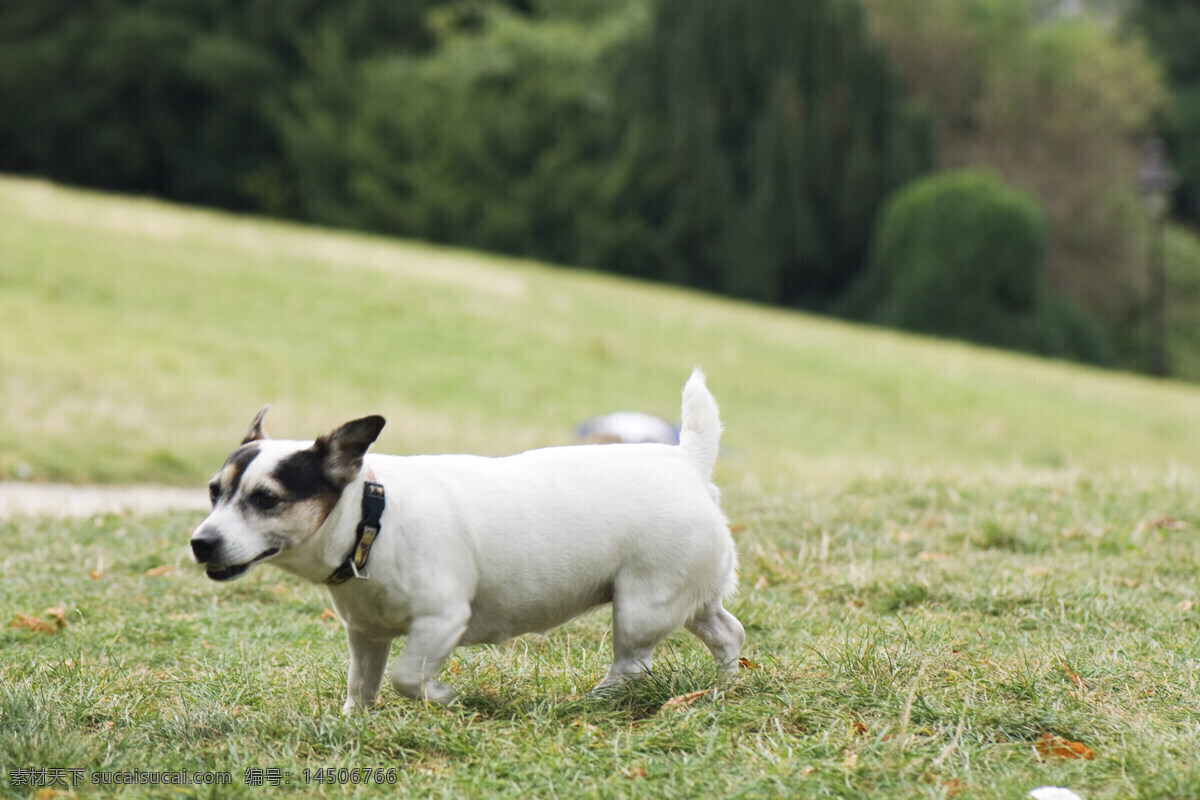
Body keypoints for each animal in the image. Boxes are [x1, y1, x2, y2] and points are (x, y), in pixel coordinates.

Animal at [189, 369, 739, 714]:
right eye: (214, 492)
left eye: (266, 499)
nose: (200, 542)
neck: (372, 518)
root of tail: (686, 461)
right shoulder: (366, 634)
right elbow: (362, 684)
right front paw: (353, 723)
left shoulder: (441, 621)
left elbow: (407, 677)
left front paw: (442, 698)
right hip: (690, 599)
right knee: (728, 633)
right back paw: (725, 687)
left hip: (641, 605)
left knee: (632, 664)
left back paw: (596, 700)